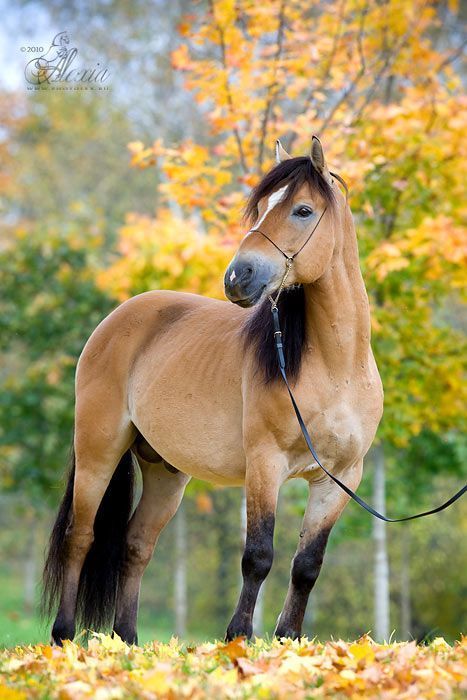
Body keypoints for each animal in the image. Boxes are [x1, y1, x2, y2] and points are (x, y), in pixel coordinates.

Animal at [42, 137, 384, 644]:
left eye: (303, 210)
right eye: (260, 207)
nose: (238, 277)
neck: (336, 367)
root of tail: (117, 319)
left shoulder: (339, 478)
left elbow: (307, 565)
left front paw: (288, 640)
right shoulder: (265, 464)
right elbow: (258, 556)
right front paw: (238, 637)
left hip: (165, 470)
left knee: (136, 545)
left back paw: (128, 640)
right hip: (98, 452)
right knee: (80, 537)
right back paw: (64, 636)